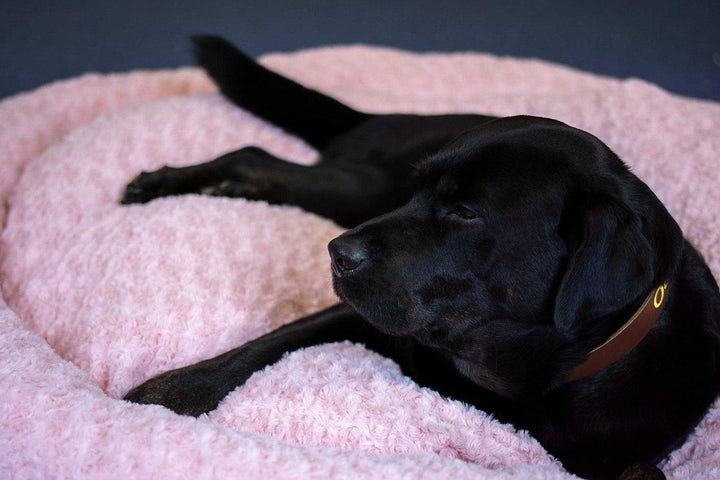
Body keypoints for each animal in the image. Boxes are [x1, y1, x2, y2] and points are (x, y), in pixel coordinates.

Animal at [124, 37, 720, 480]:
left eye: (465, 213)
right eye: (420, 192)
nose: (337, 254)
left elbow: (644, 471)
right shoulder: (359, 313)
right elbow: (265, 344)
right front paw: (171, 391)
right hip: (360, 187)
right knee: (254, 156)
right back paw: (160, 183)